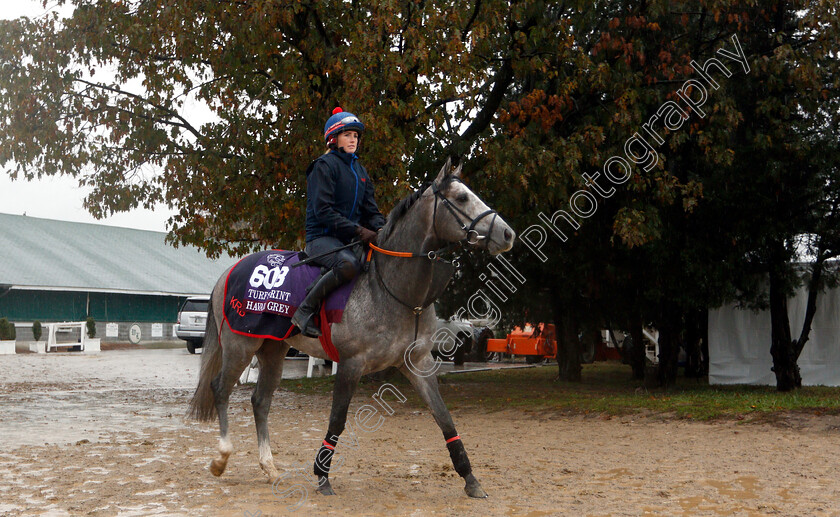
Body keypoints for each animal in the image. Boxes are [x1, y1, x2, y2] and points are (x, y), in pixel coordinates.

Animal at [189, 160, 512, 496]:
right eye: (461, 198)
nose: (507, 233)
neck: (391, 287)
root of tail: (229, 271)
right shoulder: (351, 364)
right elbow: (337, 421)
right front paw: (322, 477)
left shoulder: (419, 363)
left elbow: (444, 418)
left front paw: (471, 479)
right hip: (240, 346)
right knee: (220, 389)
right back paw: (221, 458)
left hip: (272, 350)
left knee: (260, 401)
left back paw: (270, 468)